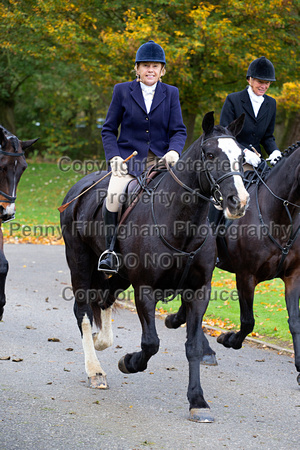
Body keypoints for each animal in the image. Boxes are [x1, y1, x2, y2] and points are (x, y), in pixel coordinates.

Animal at [60, 112, 248, 422]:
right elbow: (151, 342)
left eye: (241, 156)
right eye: (210, 154)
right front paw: (129, 362)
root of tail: (79, 188)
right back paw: (95, 370)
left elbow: (193, 347)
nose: (239, 201)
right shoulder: (144, 289)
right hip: (79, 262)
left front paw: (198, 401)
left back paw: (102, 341)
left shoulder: (199, 291)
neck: (182, 222)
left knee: (104, 300)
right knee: (84, 312)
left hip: (117, 275)